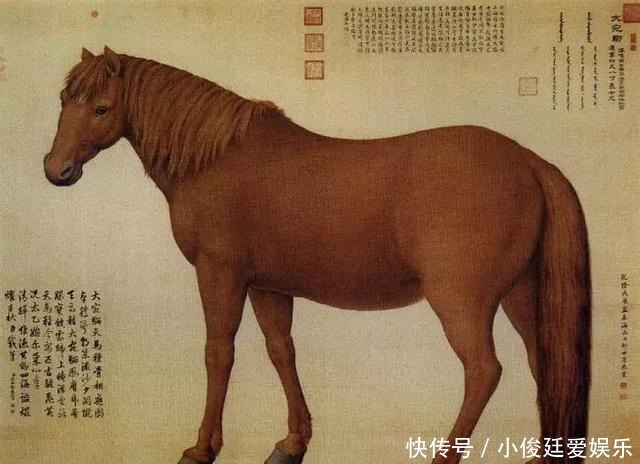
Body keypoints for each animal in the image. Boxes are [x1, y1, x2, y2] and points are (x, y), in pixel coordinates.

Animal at [43, 46, 591, 464]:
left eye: (101, 108)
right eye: (65, 99)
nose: (56, 169)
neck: (216, 159)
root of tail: (529, 161)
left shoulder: (219, 274)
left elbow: (218, 353)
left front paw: (202, 448)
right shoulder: (267, 285)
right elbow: (281, 350)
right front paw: (292, 442)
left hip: (461, 300)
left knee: (483, 371)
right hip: (520, 292)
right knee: (544, 363)